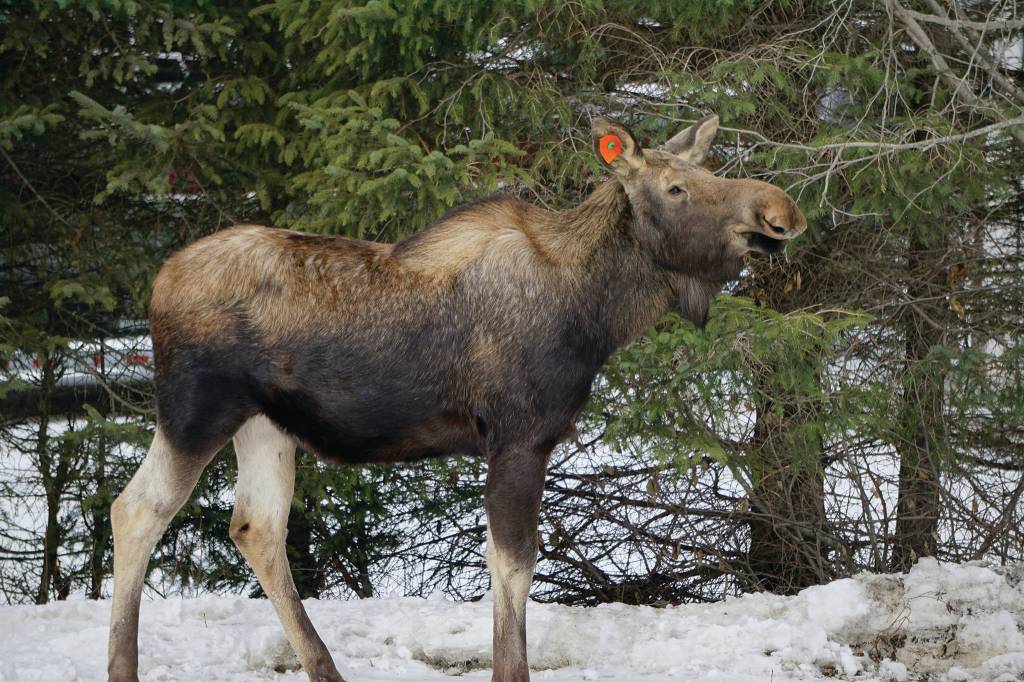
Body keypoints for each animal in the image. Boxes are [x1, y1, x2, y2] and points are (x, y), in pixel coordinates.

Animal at [107, 113, 806, 682]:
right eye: (676, 188)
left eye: (706, 172)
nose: (781, 211)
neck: (598, 311)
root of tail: (157, 283)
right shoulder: (519, 435)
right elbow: (514, 567)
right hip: (195, 411)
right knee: (136, 509)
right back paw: (123, 666)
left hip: (266, 426)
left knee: (255, 525)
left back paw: (325, 668)